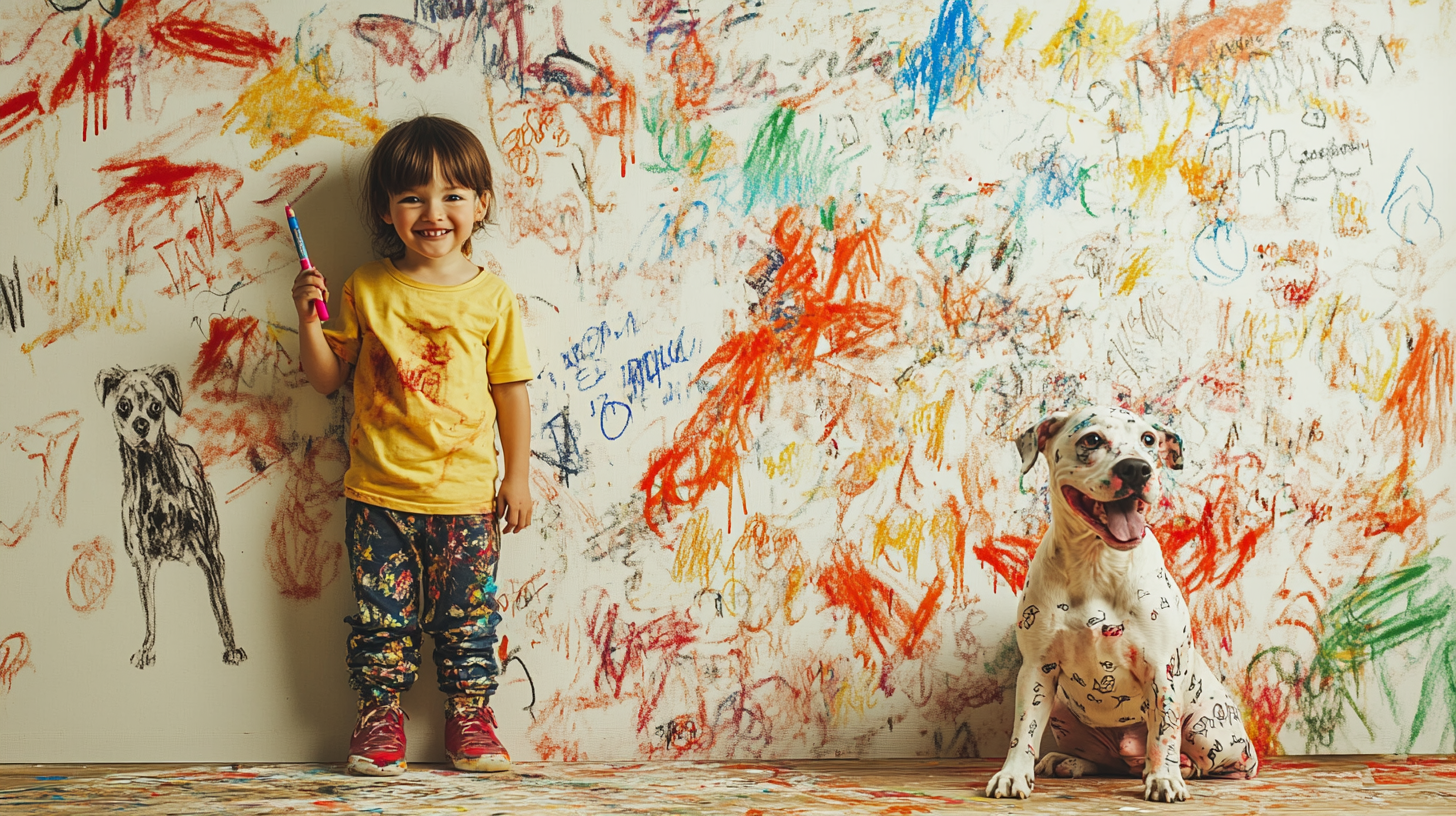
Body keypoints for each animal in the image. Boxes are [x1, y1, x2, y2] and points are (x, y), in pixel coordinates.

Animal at [984, 405, 1257, 798]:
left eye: (1149, 439)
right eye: (1092, 439)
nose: (1136, 468)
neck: (1098, 562)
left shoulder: (1161, 672)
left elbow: (1163, 734)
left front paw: (1163, 778)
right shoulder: (1037, 668)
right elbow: (1024, 731)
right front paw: (1013, 774)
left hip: (1206, 726)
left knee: (1217, 764)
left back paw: (1181, 768)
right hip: (1064, 711)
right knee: (1112, 762)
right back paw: (1070, 762)